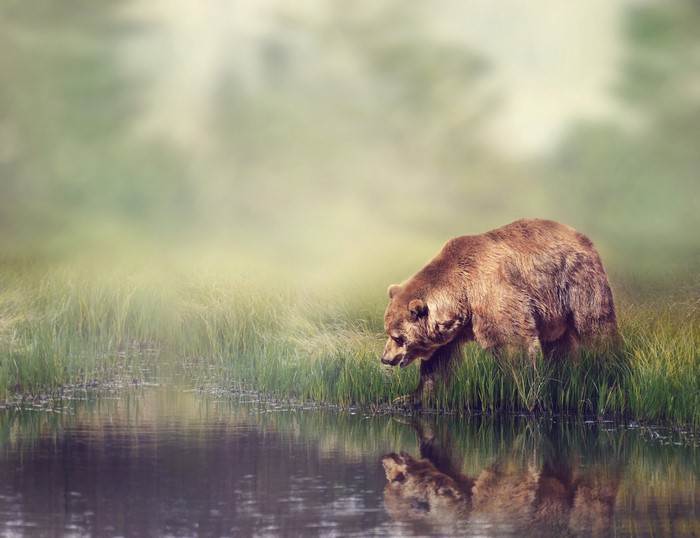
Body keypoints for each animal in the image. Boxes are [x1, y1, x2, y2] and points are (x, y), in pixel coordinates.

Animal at [382, 218, 620, 404]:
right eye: (388, 332)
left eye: (398, 337)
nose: (385, 358)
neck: (462, 297)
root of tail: (582, 236)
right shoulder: (452, 333)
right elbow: (437, 365)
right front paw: (409, 397)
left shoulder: (494, 294)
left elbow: (513, 342)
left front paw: (518, 389)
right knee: (559, 345)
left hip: (576, 282)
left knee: (596, 329)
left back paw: (607, 368)